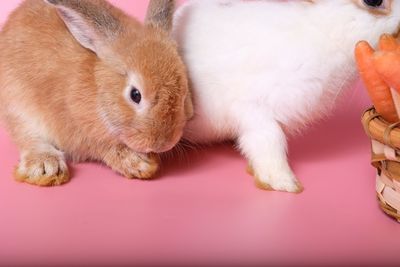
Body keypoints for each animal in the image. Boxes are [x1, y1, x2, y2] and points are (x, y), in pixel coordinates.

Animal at [0, 0, 194, 187]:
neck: (99, 88)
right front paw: (139, 163)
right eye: (135, 95)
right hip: (18, 109)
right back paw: (46, 167)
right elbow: (103, 147)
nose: (163, 144)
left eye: (184, 88)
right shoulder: (78, 131)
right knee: (28, 138)